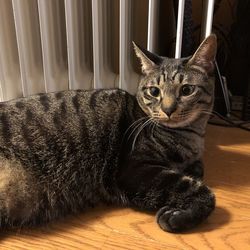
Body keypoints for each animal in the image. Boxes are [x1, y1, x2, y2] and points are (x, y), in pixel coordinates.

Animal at [0, 33, 217, 232]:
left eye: (187, 90)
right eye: (154, 91)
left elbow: (197, 170)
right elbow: (203, 193)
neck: (192, 136)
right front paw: (177, 216)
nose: (168, 109)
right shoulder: (135, 171)